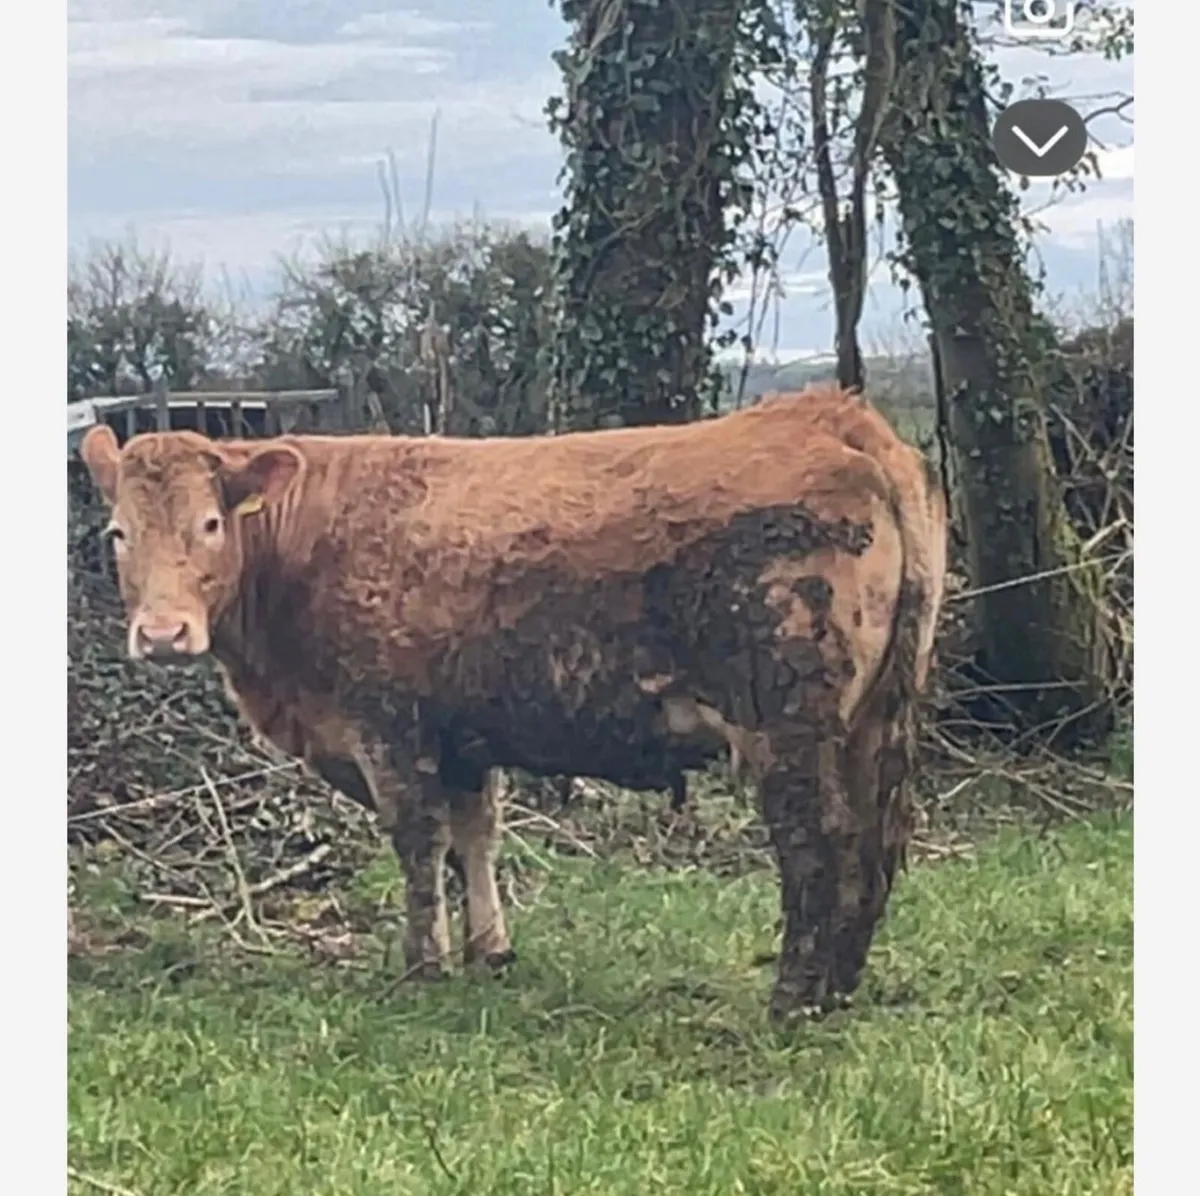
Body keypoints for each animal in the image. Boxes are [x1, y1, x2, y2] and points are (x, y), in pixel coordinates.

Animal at [78, 384, 947, 1021]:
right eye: (117, 533)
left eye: (211, 522)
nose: (162, 633)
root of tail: (833, 414)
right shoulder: (463, 735)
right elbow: (476, 836)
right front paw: (488, 952)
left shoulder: (386, 724)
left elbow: (419, 844)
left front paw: (421, 967)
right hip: (872, 717)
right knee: (874, 841)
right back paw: (839, 987)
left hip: (787, 723)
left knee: (818, 843)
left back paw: (793, 998)